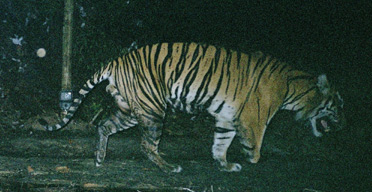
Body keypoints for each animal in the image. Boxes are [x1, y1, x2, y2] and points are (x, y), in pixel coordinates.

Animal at [39, 42, 344, 172]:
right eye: (338, 103)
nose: (344, 121)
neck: (296, 90)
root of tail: (117, 60)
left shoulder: (227, 116)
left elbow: (221, 142)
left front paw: (224, 164)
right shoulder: (253, 116)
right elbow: (255, 146)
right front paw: (249, 158)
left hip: (131, 107)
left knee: (104, 125)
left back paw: (100, 158)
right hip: (153, 108)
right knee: (147, 144)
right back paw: (168, 167)